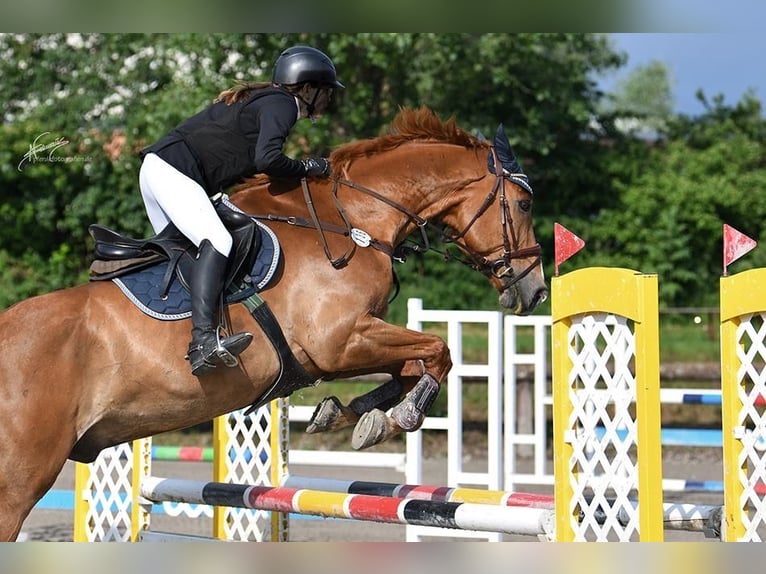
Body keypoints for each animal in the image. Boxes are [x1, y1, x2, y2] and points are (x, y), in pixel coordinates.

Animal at [0, 107, 544, 540]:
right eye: (523, 204)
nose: (535, 290)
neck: (353, 222)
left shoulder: (341, 348)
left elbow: (410, 367)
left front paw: (351, 416)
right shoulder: (338, 341)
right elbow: (437, 350)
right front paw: (401, 416)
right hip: (21, 476)